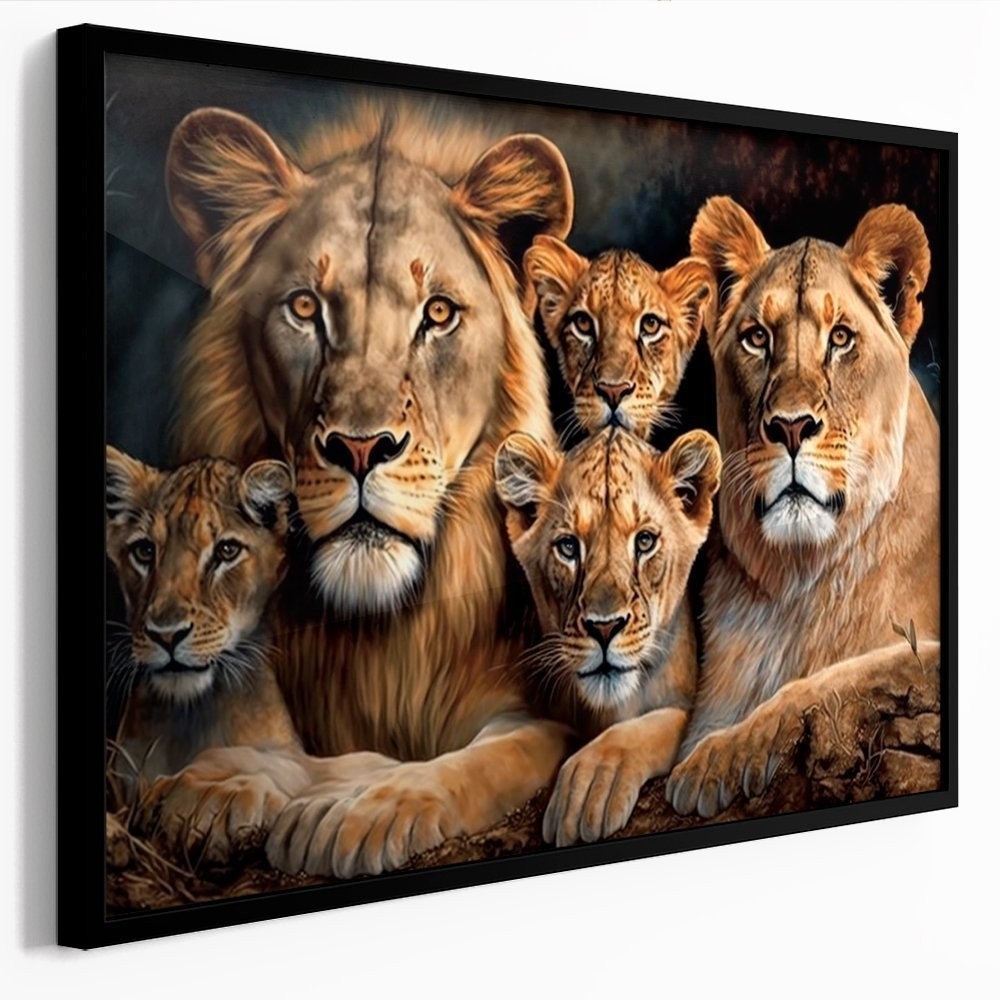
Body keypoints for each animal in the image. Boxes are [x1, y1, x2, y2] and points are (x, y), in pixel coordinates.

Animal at [105, 448, 314, 862]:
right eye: (145, 551)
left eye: (226, 551)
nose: (166, 634)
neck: (192, 712)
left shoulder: (292, 755)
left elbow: (280, 767)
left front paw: (216, 802)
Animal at [153, 103, 576, 878]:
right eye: (303, 307)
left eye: (437, 314)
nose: (359, 448)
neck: (376, 634)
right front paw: (225, 784)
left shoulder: (543, 716)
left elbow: (469, 762)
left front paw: (361, 810)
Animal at [664, 197, 941, 819]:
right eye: (756, 338)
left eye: (840, 338)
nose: (790, 427)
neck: (799, 585)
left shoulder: (919, 655)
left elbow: (829, 680)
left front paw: (712, 763)